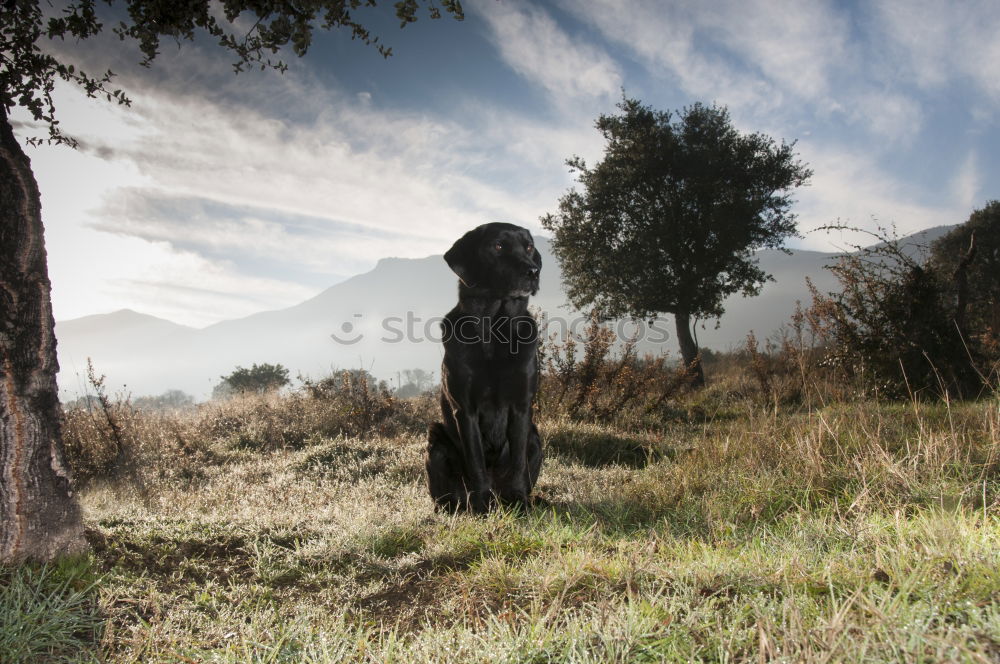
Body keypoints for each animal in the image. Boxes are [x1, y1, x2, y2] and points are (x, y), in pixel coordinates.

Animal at [426, 223, 544, 512]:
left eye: (528, 247)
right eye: (498, 246)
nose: (533, 271)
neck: (495, 329)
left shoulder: (522, 406)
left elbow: (518, 463)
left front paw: (519, 500)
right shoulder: (465, 409)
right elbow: (476, 461)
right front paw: (481, 505)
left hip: (536, 436)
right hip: (436, 439)